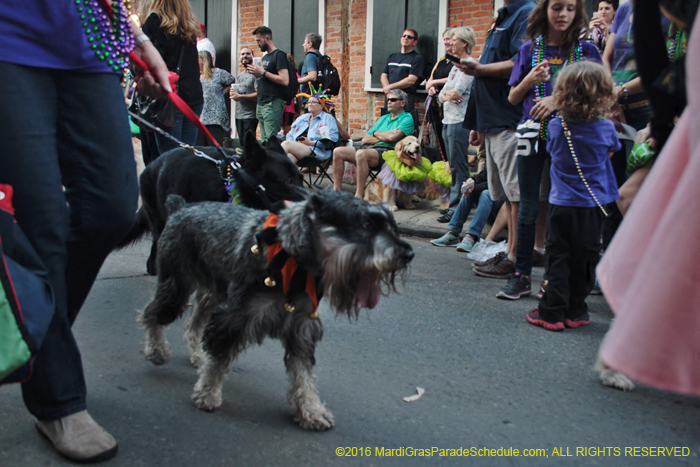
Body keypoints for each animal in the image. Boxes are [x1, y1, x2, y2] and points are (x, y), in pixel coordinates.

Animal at [141, 190, 416, 432]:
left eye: (388, 224)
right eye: (366, 223)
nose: (408, 253)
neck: (294, 259)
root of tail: (181, 207)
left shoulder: (302, 327)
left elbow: (303, 375)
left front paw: (312, 411)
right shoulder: (234, 317)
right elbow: (219, 359)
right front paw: (207, 393)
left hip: (216, 290)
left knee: (194, 318)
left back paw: (197, 353)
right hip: (176, 284)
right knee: (152, 313)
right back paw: (157, 351)